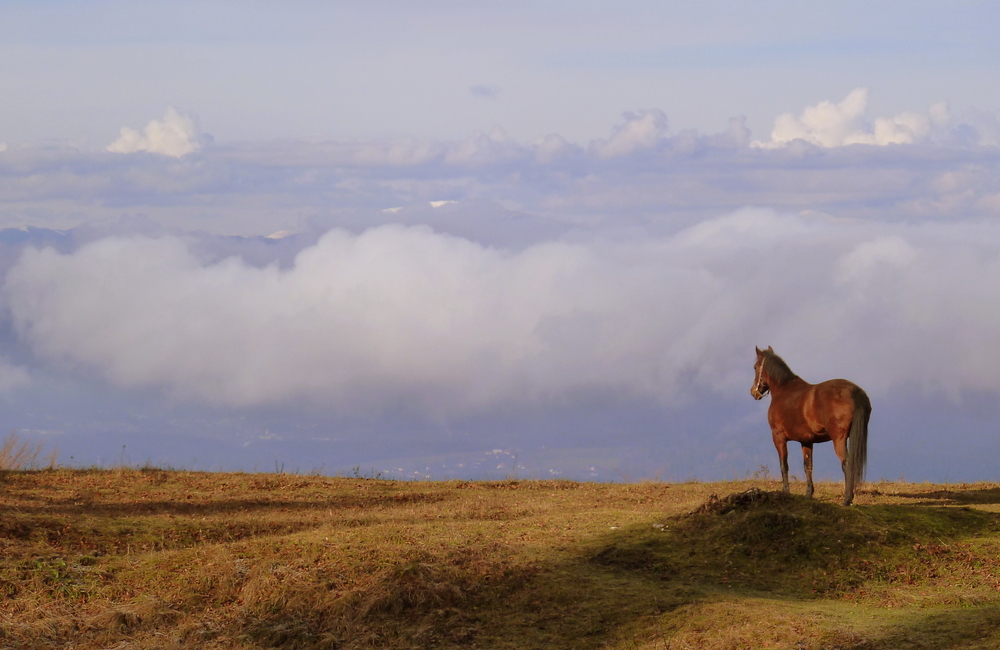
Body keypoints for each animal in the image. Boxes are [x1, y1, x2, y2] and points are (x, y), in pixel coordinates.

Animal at [752, 346, 868, 504]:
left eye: (755, 367)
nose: (754, 392)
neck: (783, 389)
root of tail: (853, 391)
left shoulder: (778, 437)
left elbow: (784, 465)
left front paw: (786, 491)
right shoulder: (806, 441)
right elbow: (808, 466)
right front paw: (808, 493)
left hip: (839, 440)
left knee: (847, 464)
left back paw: (847, 499)